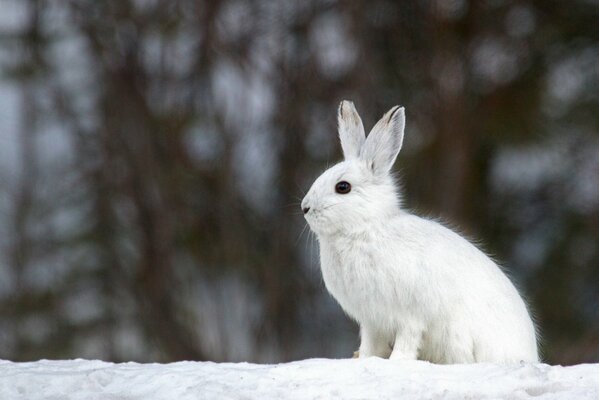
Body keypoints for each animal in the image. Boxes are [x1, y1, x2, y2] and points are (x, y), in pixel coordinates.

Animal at [302, 100, 540, 362]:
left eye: (342, 187)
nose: (305, 208)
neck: (364, 228)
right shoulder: (372, 322)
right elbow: (370, 346)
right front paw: (363, 359)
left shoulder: (410, 316)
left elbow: (407, 340)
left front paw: (397, 361)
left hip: (459, 338)